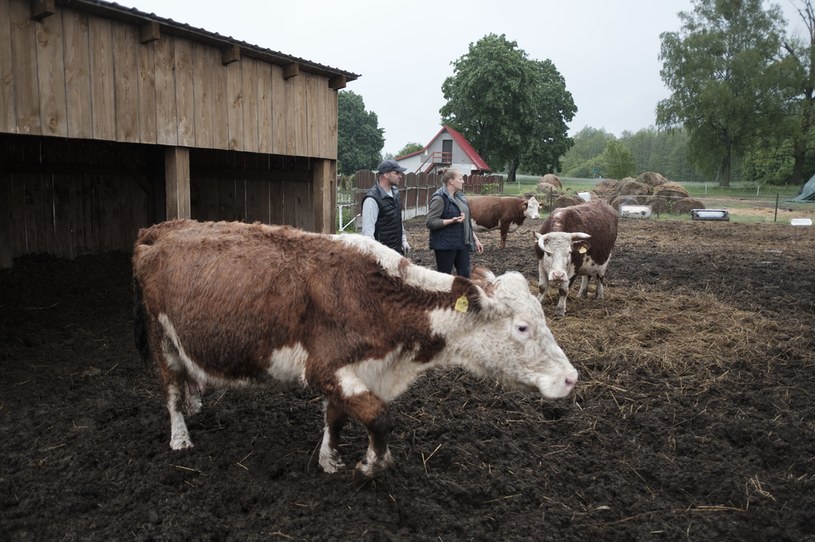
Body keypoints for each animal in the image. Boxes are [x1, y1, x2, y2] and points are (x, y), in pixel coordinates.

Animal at [134, 219, 576, 478]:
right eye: (522, 327)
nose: (570, 378)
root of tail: (163, 228)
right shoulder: (325, 368)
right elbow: (379, 416)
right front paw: (371, 462)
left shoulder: (354, 371)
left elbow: (337, 418)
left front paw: (329, 459)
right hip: (161, 338)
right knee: (171, 390)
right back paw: (180, 436)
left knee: (188, 380)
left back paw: (196, 402)